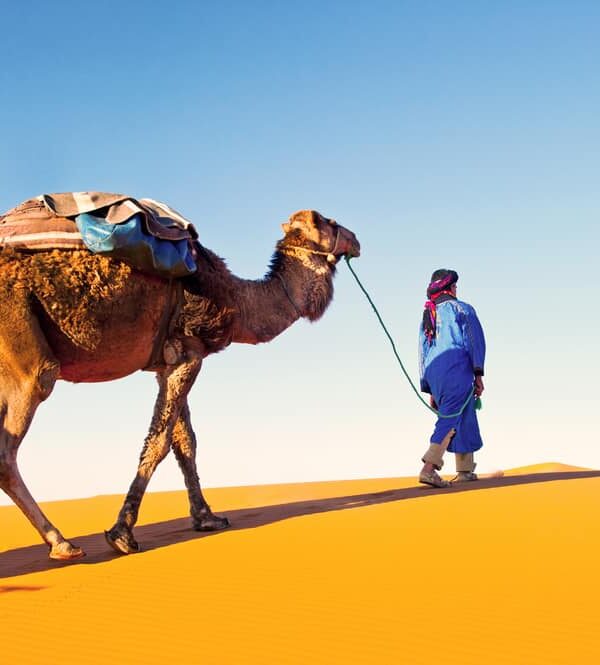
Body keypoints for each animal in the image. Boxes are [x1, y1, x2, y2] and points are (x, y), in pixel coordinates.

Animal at [0, 205, 360, 560]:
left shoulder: (169, 362)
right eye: (328, 221)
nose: (356, 240)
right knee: (14, 436)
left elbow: (185, 442)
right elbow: (160, 442)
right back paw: (62, 543)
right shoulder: (188, 351)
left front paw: (206, 518)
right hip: (27, 355)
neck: (236, 300)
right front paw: (122, 534)